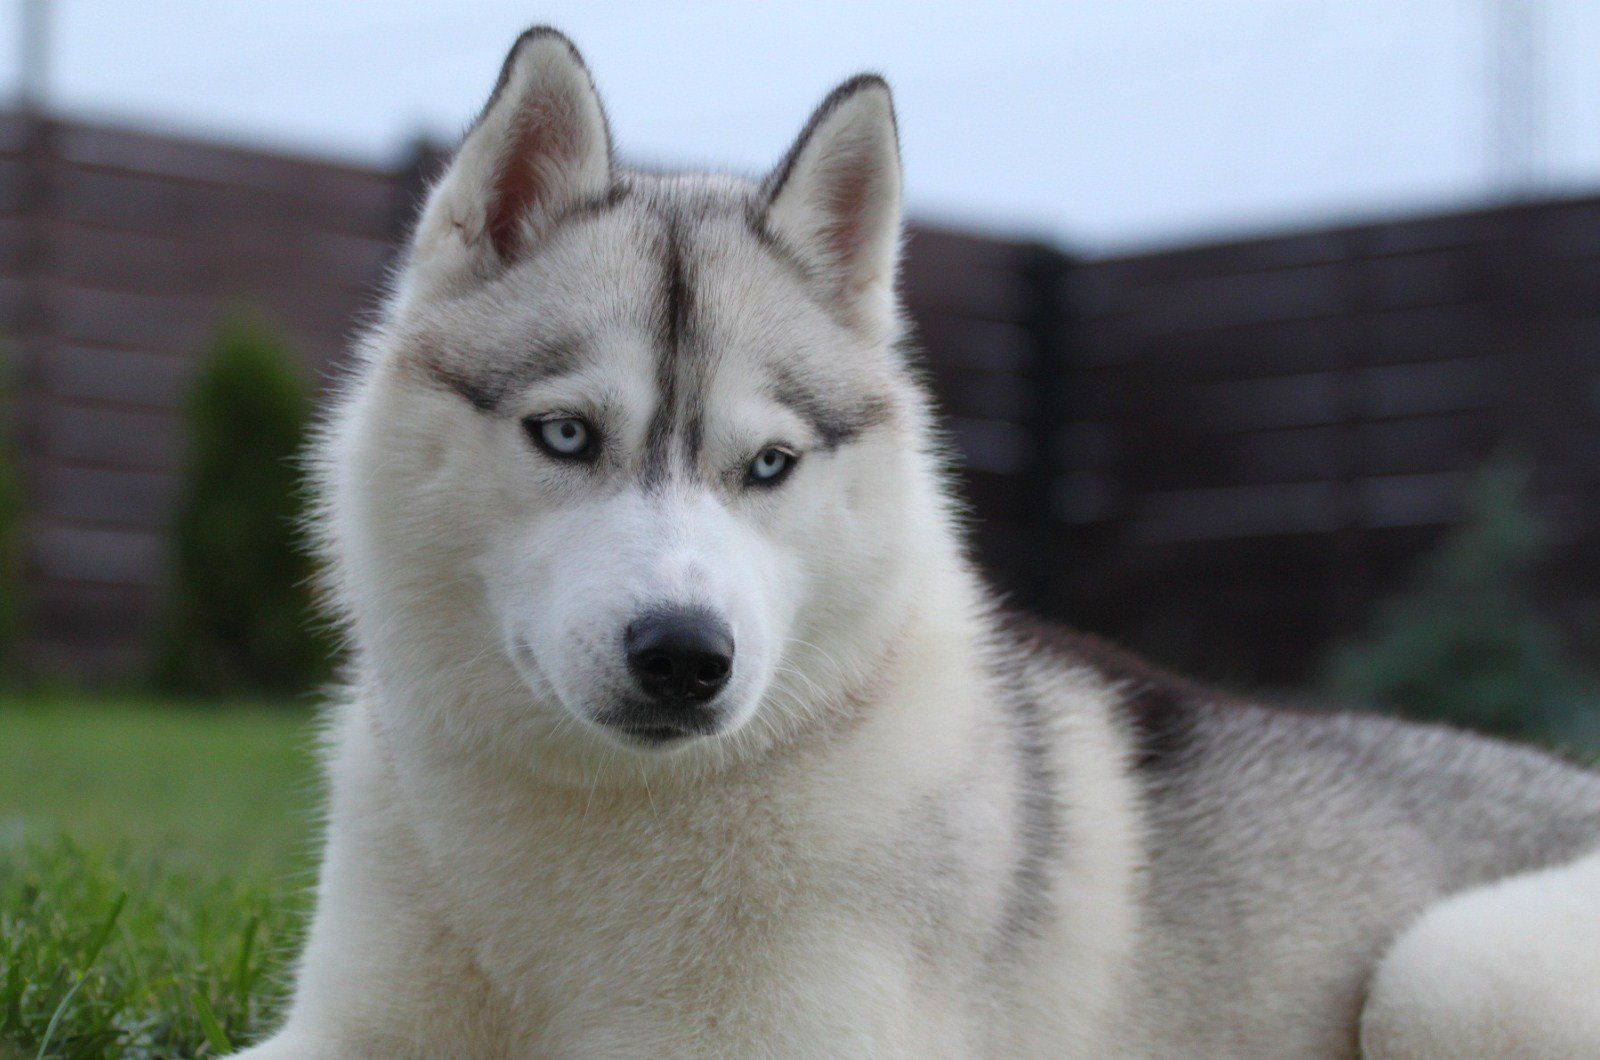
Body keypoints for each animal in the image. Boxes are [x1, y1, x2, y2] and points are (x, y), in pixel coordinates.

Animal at [233, 29, 1600, 1056]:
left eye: (768, 464)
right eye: (566, 434)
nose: (684, 656)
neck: (601, 821)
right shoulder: (340, 1029)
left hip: (1448, 971)